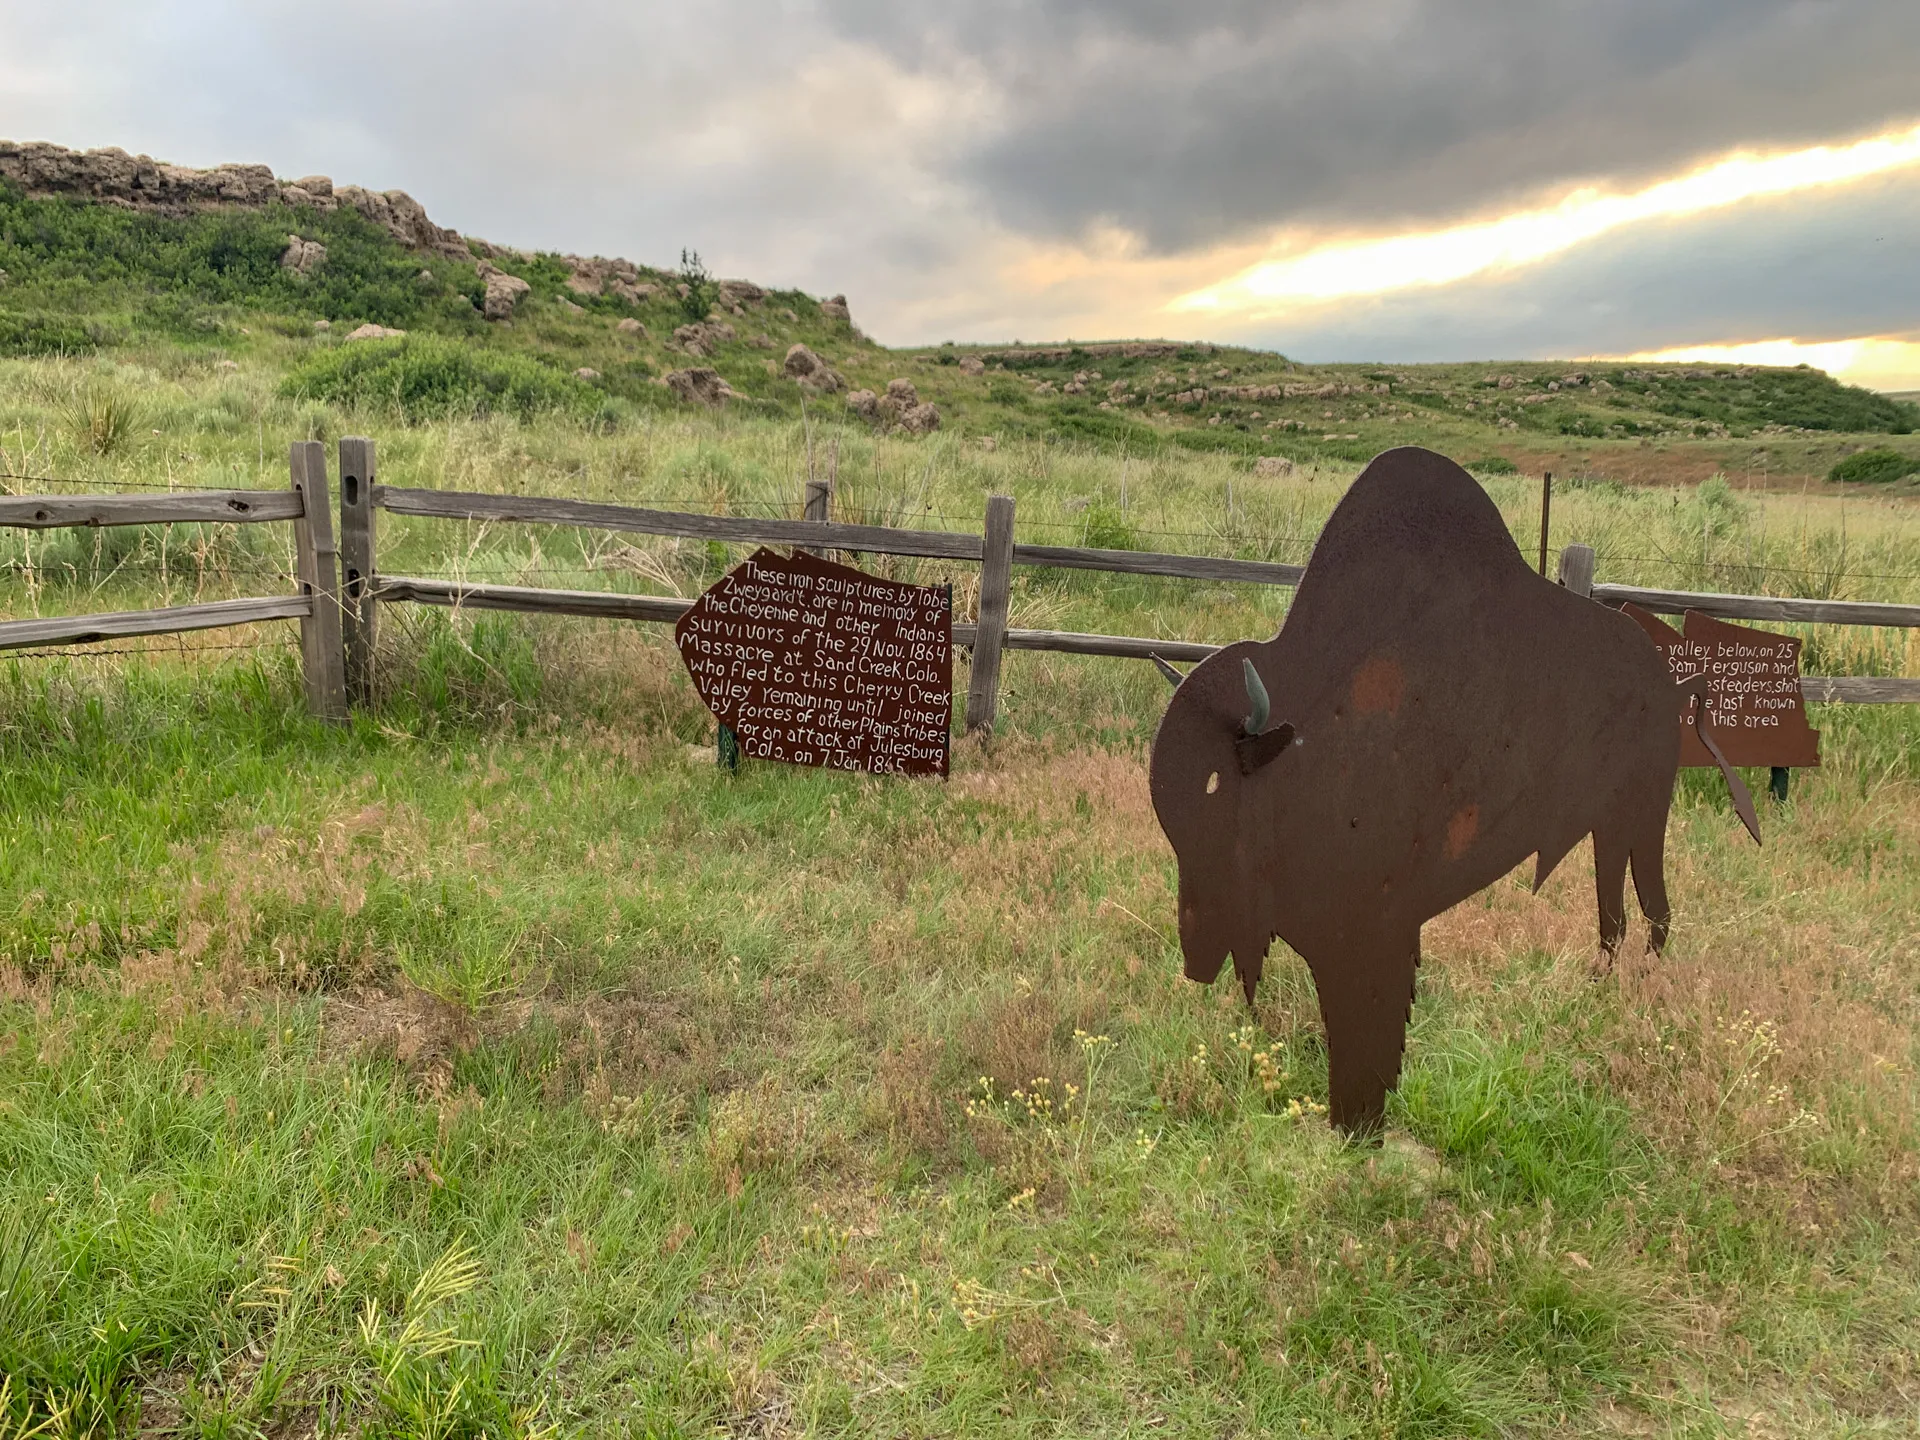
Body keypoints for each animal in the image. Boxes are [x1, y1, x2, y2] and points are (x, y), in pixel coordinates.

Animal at [1150, 447, 1756, 1132]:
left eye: (1212, 783)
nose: (1197, 961)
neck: (1303, 729)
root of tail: (1674, 684)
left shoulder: (1374, 932)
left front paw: (1358, 1124)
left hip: (1643, 818)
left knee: (1655, 911)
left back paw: (1634, 996)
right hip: (1610, 829)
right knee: (1614, 916)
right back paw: (1598, 989)